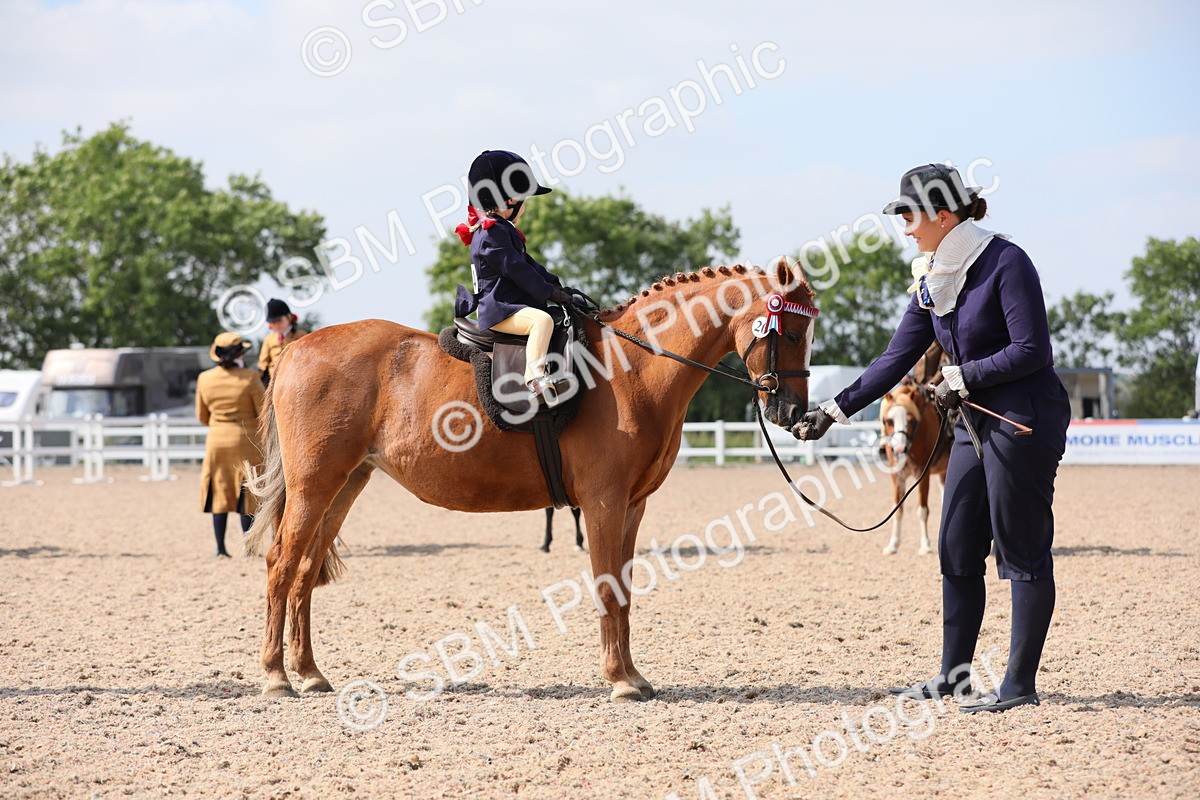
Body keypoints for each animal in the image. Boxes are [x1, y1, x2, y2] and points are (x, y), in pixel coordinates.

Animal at [244, 259, 817, 702]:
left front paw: (634, 675)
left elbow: (625, 590)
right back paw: (276, 677)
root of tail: (298, 349)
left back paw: (310, 674)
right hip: (314, 487)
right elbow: (607, 587)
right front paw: (619, 681)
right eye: (788, 333)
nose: (791, 413)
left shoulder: (633, 506)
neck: (632, 369)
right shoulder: (604, 502)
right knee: (281, 565)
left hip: (345, 485)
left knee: (305, 573)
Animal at [878, 378, 949, 555]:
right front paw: (893, 545)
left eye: (910, 420)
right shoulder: (897, 477)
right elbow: (897, 510)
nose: (898, 449)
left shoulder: (923, 475)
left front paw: (925, 545)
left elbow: (922, 511)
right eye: (888, 421)